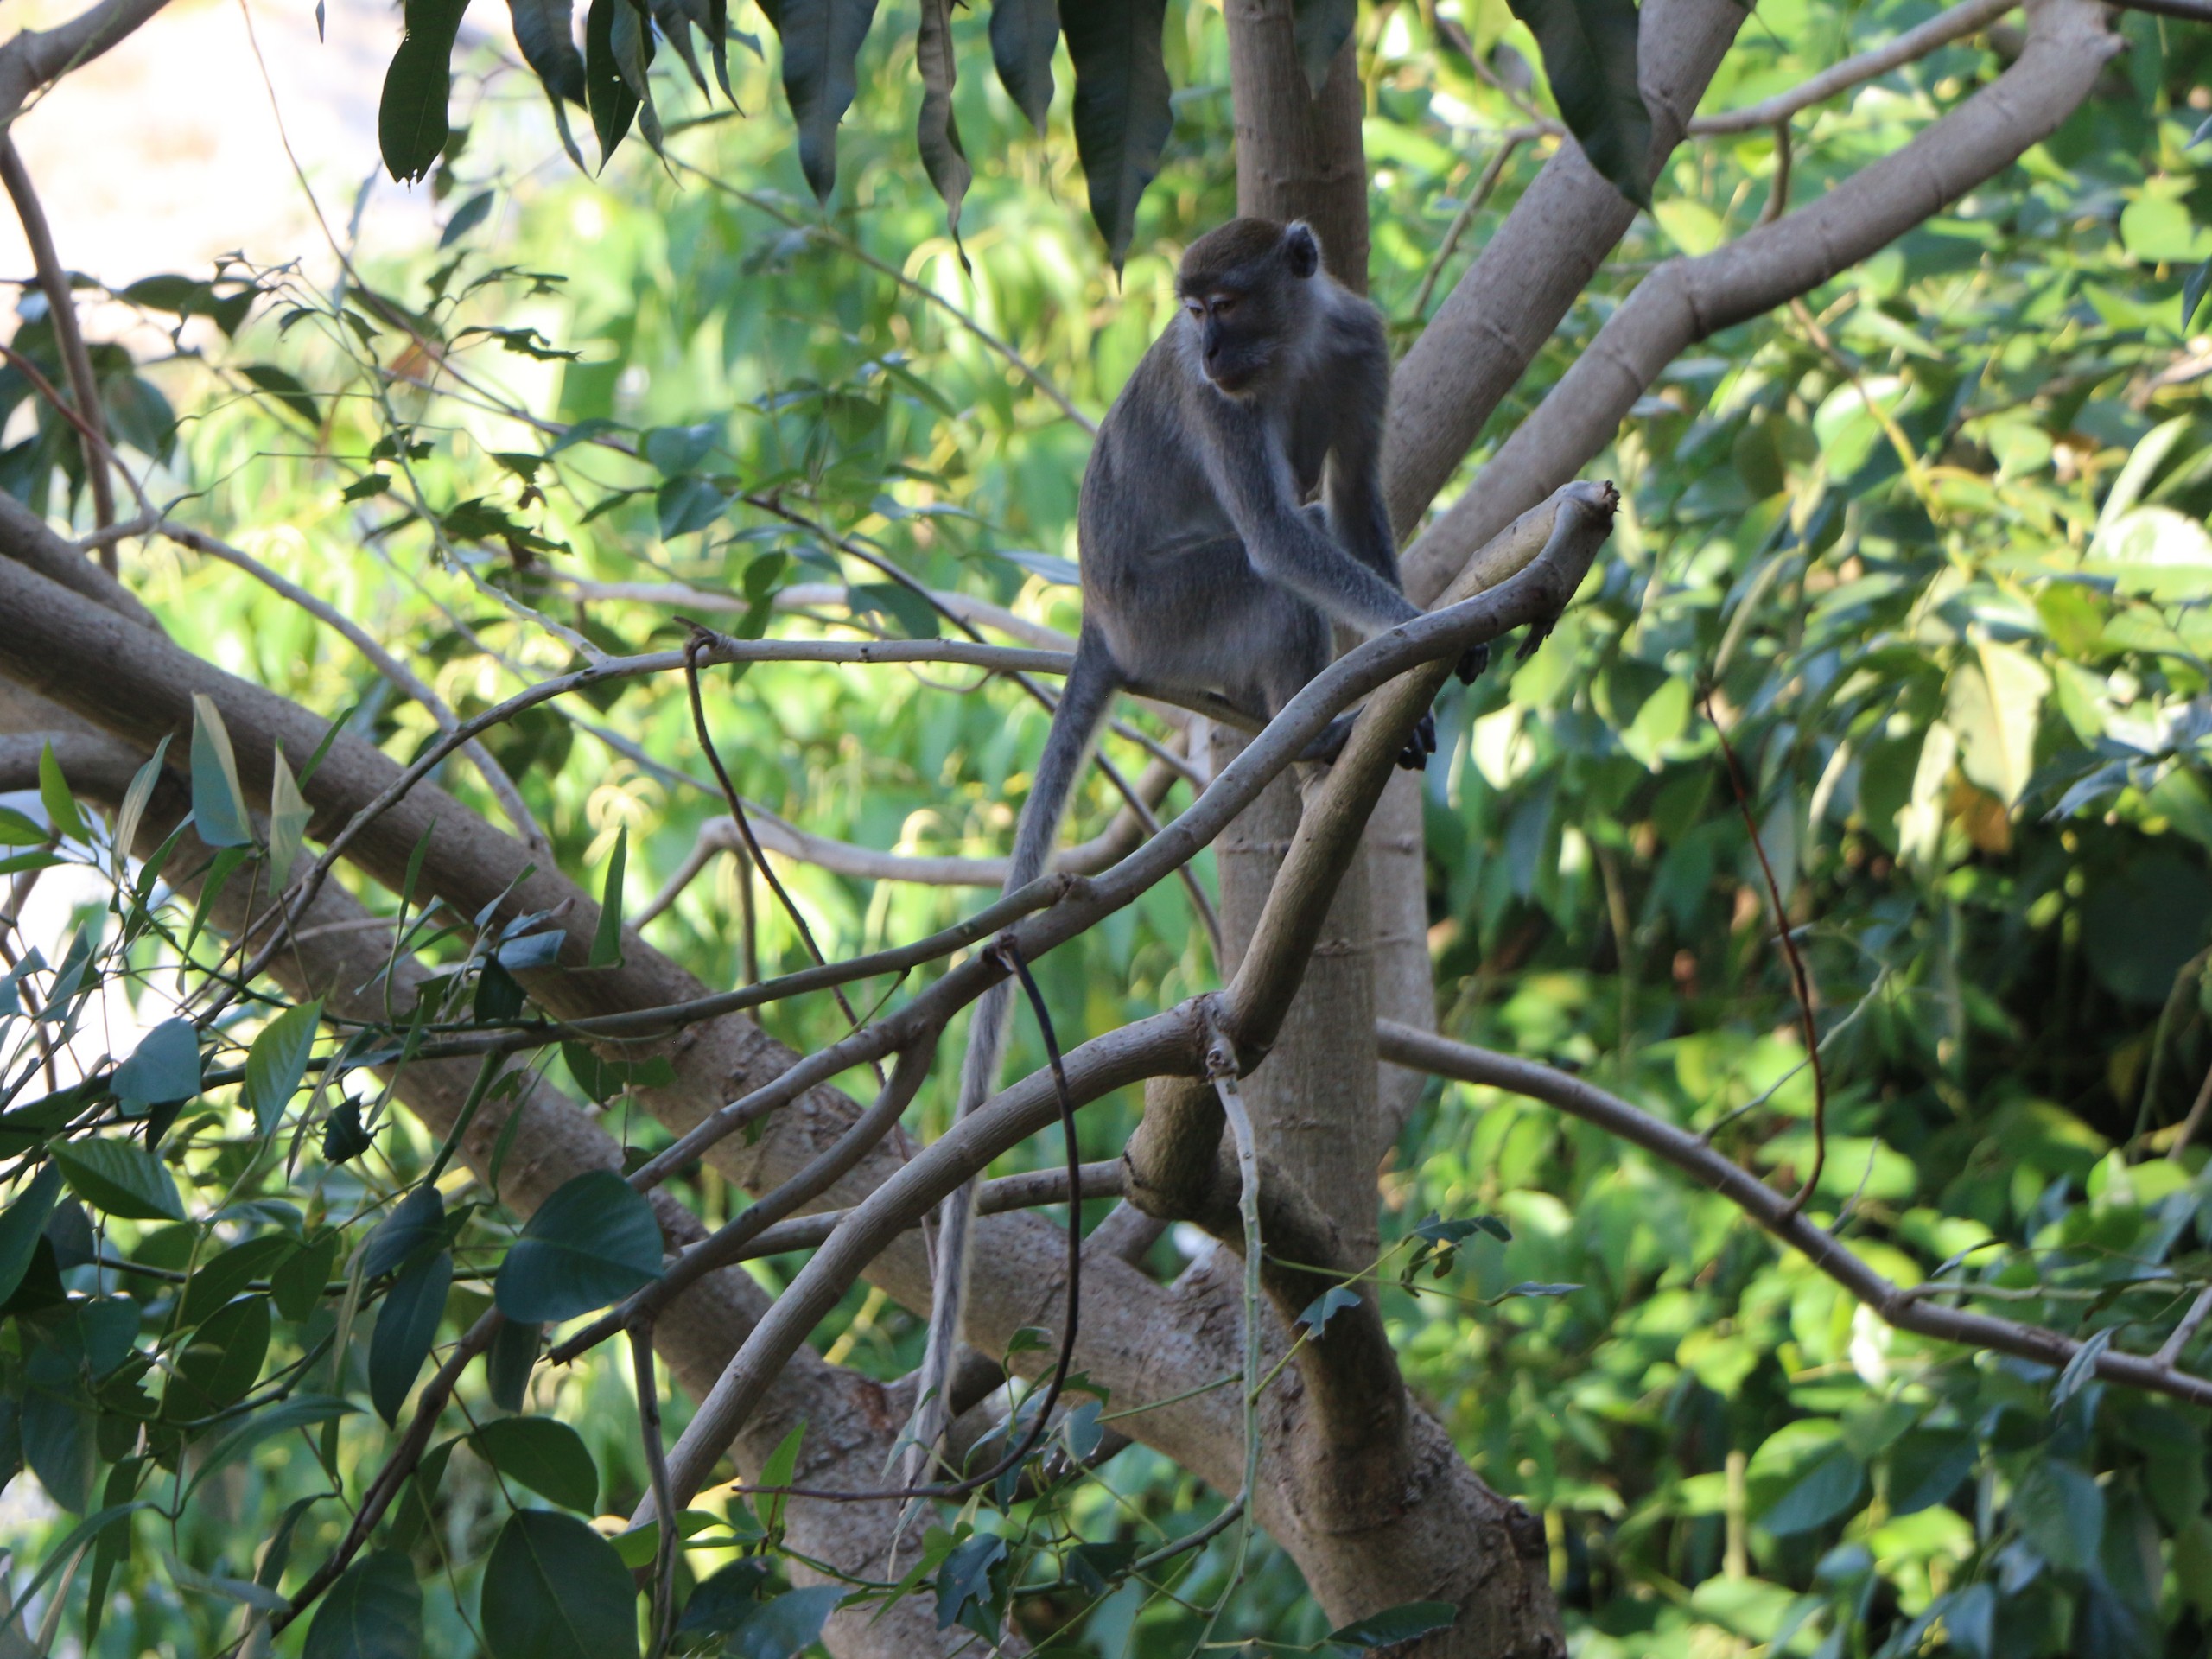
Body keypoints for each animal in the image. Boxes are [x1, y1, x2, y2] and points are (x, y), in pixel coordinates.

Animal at [906, 218, 1478, 1478]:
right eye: (1195, 310)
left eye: (1228, 302)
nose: (1207, 349)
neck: (1292, 349)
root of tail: (1098, 621)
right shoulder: (1224, 417)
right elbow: (1281, 542)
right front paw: (1420, 633)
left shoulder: (1361, 348)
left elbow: (1353, 503)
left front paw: (1409, 664)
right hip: (1172, 616)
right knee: (1265, 590)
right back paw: (1313, 735)